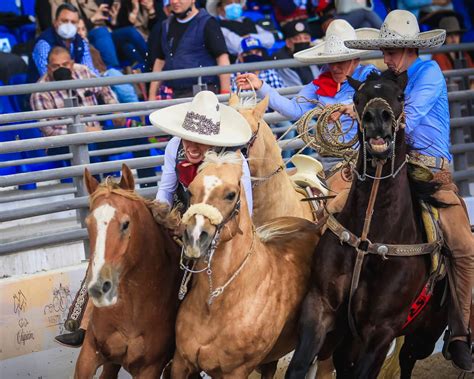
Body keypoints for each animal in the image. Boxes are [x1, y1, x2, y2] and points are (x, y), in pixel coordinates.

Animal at [286, 70, 448, 378]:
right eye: (357, 97)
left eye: (401, 96)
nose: (377, 117)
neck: (369, 238)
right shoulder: (320, 306)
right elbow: (299, 365)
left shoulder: (381, 331)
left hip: (423, 335)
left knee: (408, 358)